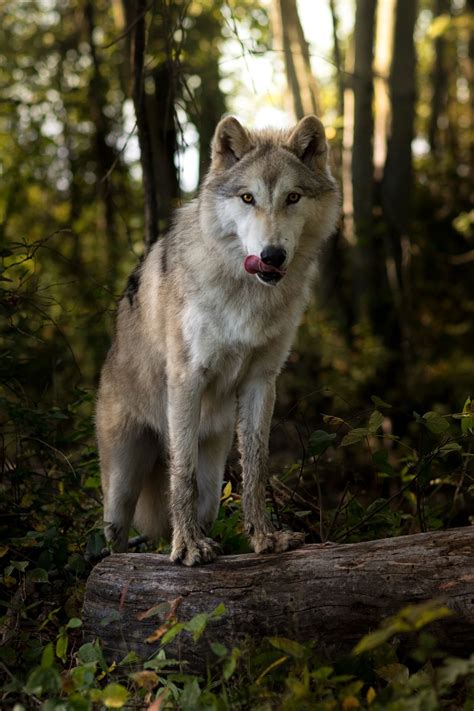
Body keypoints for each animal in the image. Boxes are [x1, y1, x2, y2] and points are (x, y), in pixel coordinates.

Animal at [96, 114, 340, 564]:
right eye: (247, 198)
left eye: (292, 197)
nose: (272, 256)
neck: (246, 293)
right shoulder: (187, 379)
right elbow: (182, 475)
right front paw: (187, 548)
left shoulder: (262, 380)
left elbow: (256, 468)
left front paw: (264, 538)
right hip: (120, 486)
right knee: (114, 541)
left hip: (213, 475)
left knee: (204, 501)